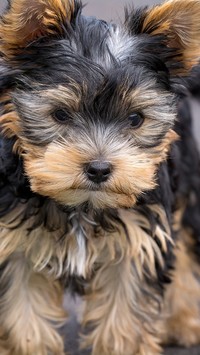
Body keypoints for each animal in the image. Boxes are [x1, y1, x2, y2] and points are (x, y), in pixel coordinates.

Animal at [0, 0, 200, 354]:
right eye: (60, 114)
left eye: (135, 119)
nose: (98, 168)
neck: (82, 205)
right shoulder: (15, 243)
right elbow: (22, 316)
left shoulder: (138, 242)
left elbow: (124, 319)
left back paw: (183, 321)